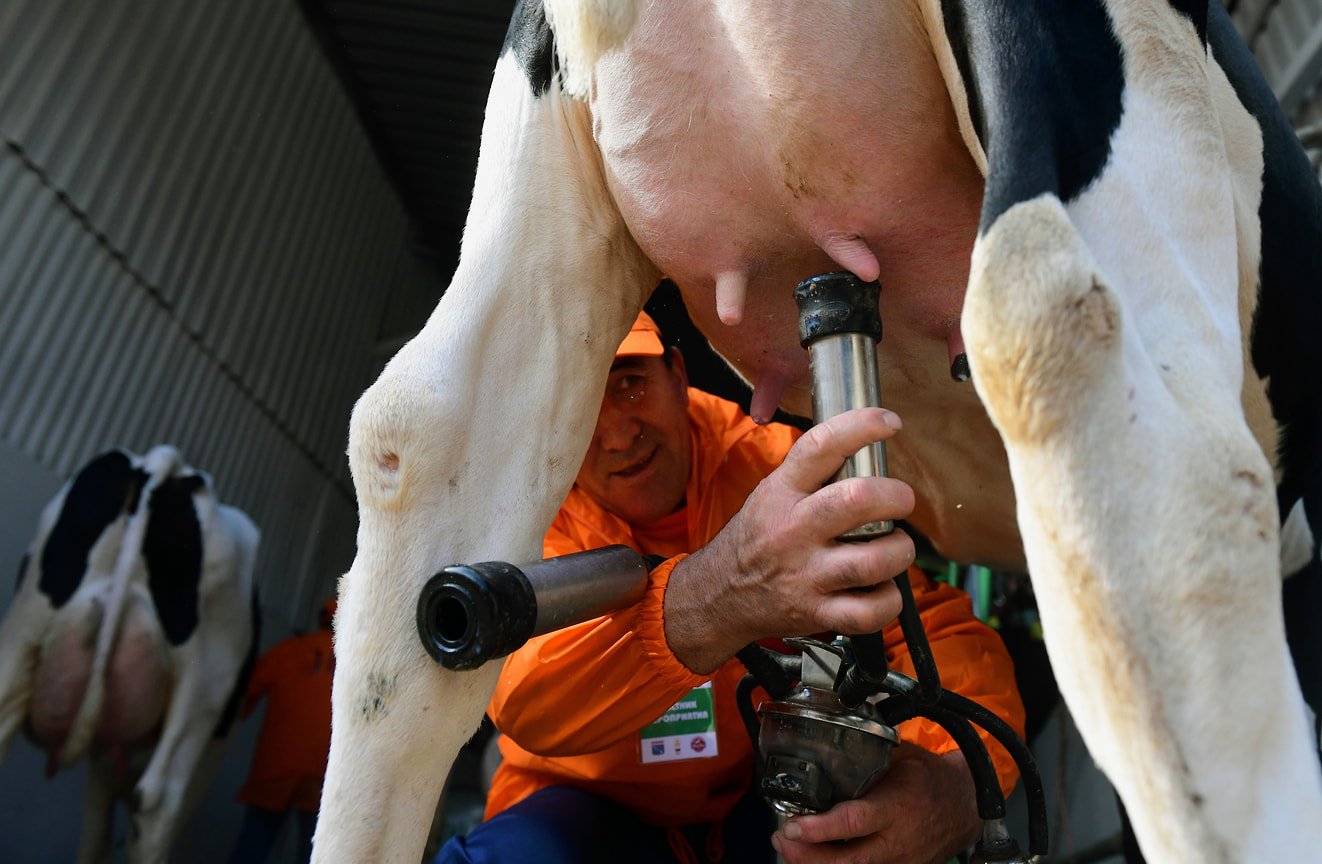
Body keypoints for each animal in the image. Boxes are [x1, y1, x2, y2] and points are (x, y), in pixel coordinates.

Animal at [0, 446, 260, 864]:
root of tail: (167, 466)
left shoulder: (102, 766)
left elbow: (96, 840)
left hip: (21, 631)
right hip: (204, 688)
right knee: (157, 804)